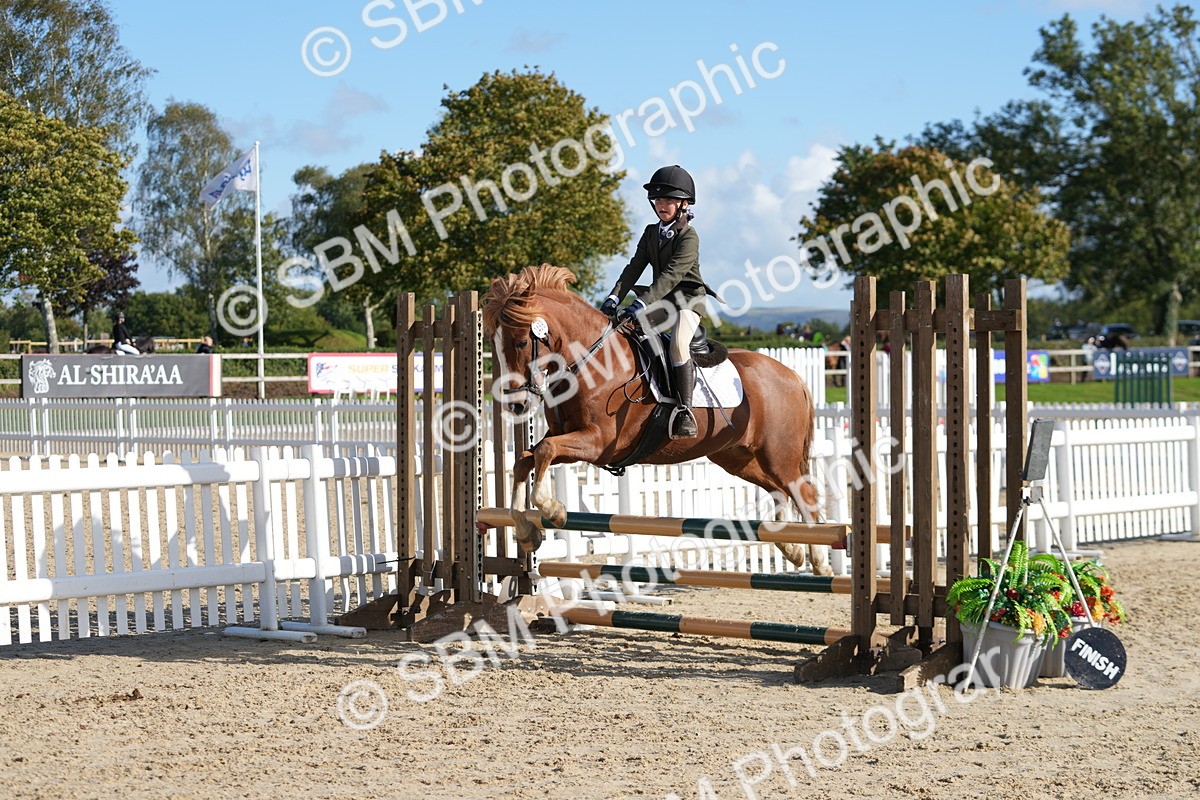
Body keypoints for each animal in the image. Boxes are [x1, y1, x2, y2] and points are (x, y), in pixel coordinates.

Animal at [482, 264, 830, 575]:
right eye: (495, 345)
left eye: (521, 342)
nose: (516, 405)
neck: (591, 361)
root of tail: (792, 376)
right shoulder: (571, 439)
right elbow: (524, 459)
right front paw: (527, 532)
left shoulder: (599, 444)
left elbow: (544, 450)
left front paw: (554, 510)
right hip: (738, 457)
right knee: (780, 492)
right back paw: (793, 550)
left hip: (778, 456)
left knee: (804, 495)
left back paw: (819, 562)